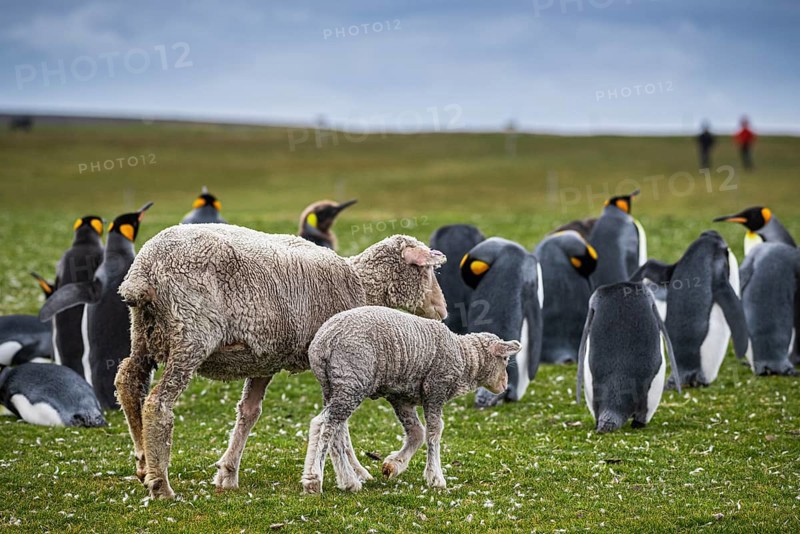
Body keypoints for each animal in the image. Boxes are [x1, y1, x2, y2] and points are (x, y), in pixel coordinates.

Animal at [114, 224, 447, 499]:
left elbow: (249, 413)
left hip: (143, 334)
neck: (361, 286)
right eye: (428, 272)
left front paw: (228, 473)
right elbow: (339, 425)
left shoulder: (266, 358)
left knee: (128, 383)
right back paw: (160, 483)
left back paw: (143, 463)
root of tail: (144, 271)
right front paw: (357, 472)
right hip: (191, 334)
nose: (443, 310)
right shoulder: (338, 363)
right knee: (157, 404)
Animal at [301, 306, 521, 493]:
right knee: (324, 424)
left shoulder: (401, 397)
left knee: (336, 428)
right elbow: (434, 432)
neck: (463, 357)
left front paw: (393, 465)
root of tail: (322, 343)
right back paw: (314, 480)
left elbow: (417, 432)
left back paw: (348, 481)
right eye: (505, 359)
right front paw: (436, 477)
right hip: (352, 378)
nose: (504, 385)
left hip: (334, 385)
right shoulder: (436, 388)